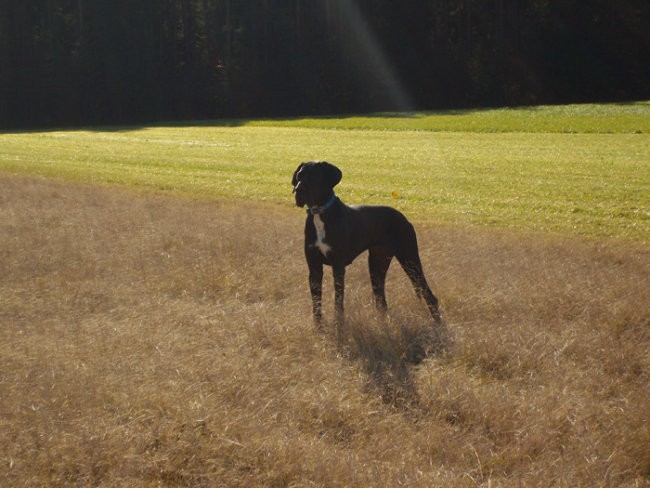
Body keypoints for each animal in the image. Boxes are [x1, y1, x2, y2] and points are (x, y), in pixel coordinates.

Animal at [292, 160, 442, 332]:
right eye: (299, 176)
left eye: (314, 176)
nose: (298, 190)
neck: (320, 213)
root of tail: (403, 217)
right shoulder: (314, 267)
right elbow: (316, 302)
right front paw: (318, 328)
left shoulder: (338, 266)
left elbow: (338, 300)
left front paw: (338, 325)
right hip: (377, 263)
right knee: (381, 300)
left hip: (409, 258)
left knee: (428, 294)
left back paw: (439, 325)